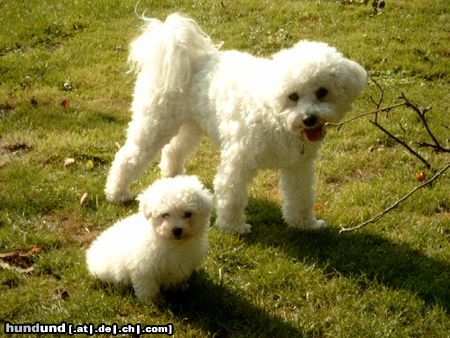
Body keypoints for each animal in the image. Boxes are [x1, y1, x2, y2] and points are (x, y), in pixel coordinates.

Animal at [103, 14, 368, 234]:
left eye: (322, 92)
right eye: (293, 96)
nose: (309, 119)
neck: (276, 117)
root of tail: (176, 44)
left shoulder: (298, 166)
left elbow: (301, 196)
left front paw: (304, 224)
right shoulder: (238, 160)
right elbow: (232, 194)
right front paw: (232, 227)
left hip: (191, 125)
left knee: (173, 149)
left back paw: (174, 178)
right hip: (154, 123)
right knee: (128, 157)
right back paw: (117, 192)